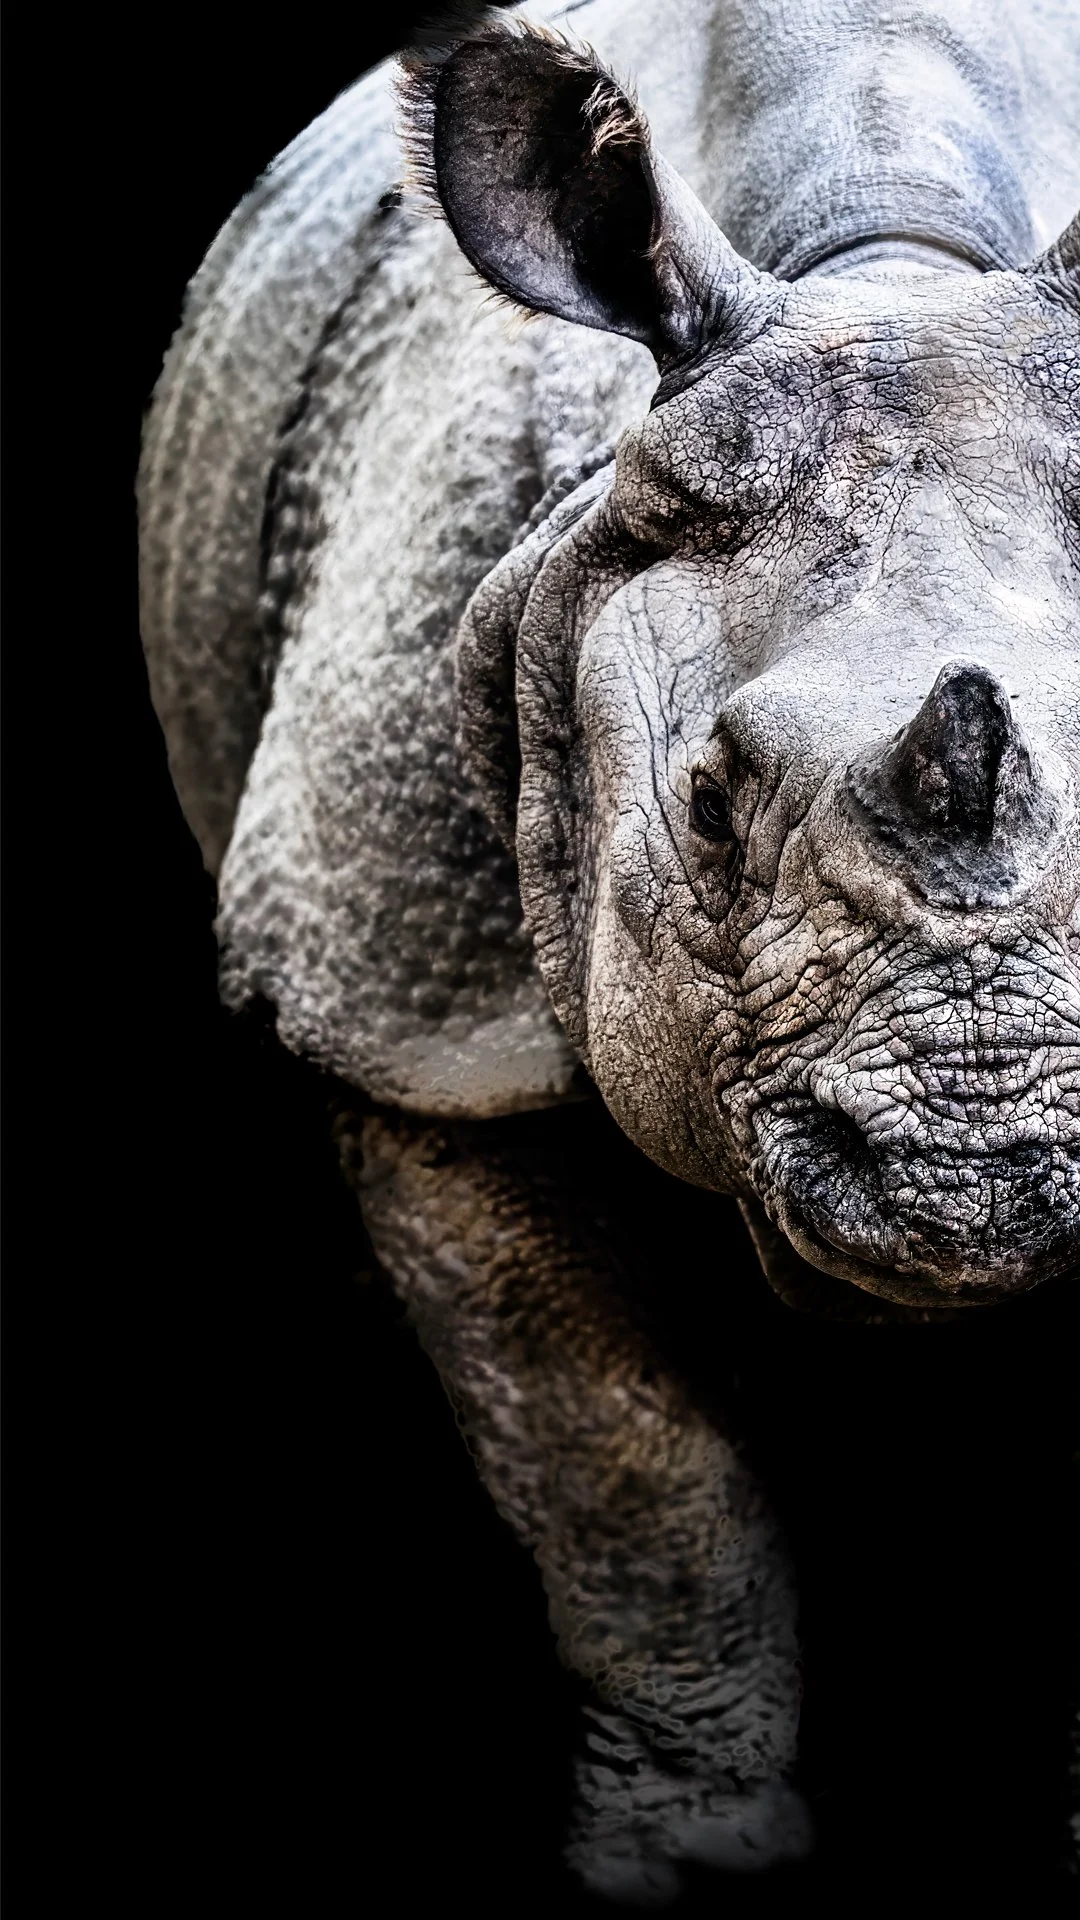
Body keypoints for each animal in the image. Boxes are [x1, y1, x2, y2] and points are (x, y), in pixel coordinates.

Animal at [138, 0, 1080, 1899]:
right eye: (705, 808)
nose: (974, 1169)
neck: (887, 265)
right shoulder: (422, 1019)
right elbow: (626, 1467)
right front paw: (691, 1855)